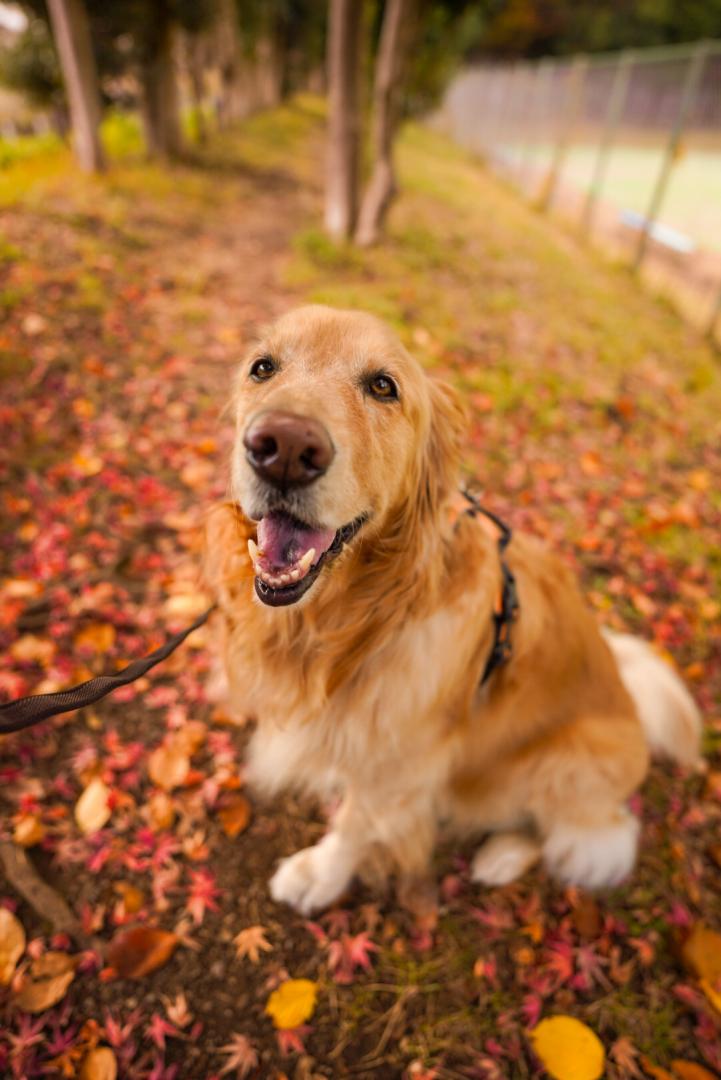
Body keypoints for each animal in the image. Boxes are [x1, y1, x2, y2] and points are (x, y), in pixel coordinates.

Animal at [203, 302, 703, 911]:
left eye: (383, 386)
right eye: (263, 367)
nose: (285, 448)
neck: (360, 616)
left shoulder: (401, 765)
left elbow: (355, 824)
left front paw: (318, 875)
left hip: (565, 763)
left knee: (595, 835)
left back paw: (502, 855)